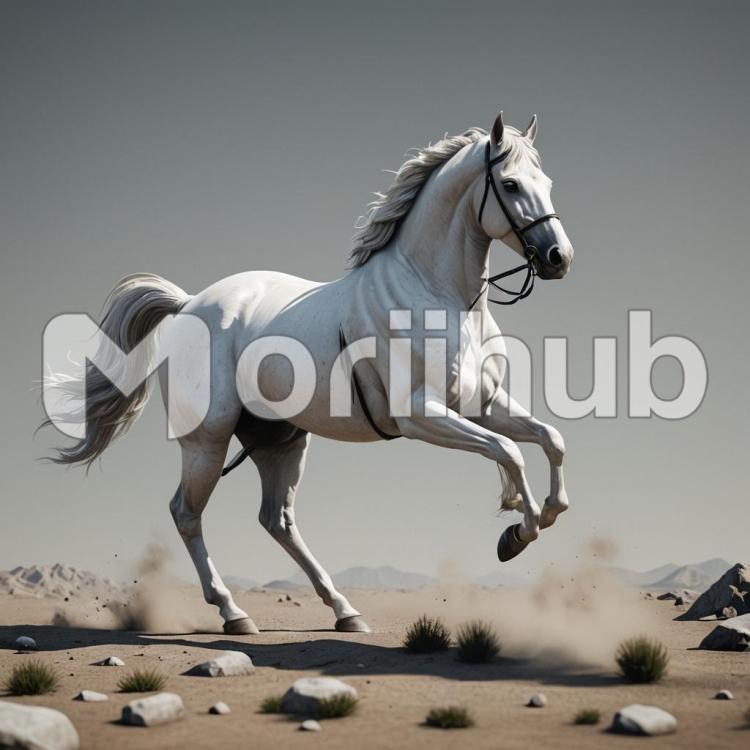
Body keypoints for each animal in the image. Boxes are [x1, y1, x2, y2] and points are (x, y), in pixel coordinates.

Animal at [45, 112, 574, 635]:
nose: (559, 258)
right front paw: (519, 531)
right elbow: (509, 451)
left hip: (279, 441)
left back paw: (345, 611)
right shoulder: (423, 415)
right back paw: (234, 613)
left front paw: (541, 515)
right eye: (509, 184)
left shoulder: (483, 406)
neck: (436, 294)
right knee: (187, 514)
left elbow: (548, 439)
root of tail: (190, 303)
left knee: (276, 519)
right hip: (207, 442)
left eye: (547, 182)